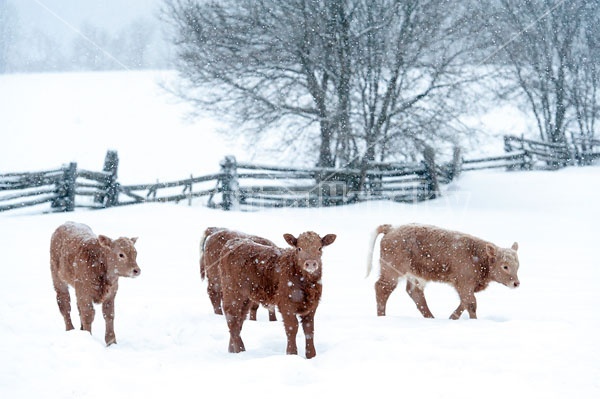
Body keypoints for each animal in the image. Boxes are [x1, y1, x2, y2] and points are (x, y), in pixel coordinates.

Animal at [220, 231, 336, 360]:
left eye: (319, 248)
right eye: (299, 248)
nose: (310, 264)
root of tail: (233, 242)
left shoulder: (312, 307)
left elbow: (309, 330)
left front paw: (311, 356)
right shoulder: (286, 305)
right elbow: (292, 327)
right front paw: (292, 354)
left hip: (246, 298)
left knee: (240, 318)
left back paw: (232, 350)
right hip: (232, 292)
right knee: (232, 318)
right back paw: (241, 350)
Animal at [364, 223, 516, 320]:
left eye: (517, 265)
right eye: (505, 266)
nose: (516, 283)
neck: (478, 255)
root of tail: (391, 228)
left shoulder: (467, 286)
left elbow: (465, 301)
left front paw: (452, 318)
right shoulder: (464, 283)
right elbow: (471, 303)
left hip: (415, 275)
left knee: (415, 293)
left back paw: (430, 318)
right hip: (392, 271)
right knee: (382, 288)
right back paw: (382, 317)